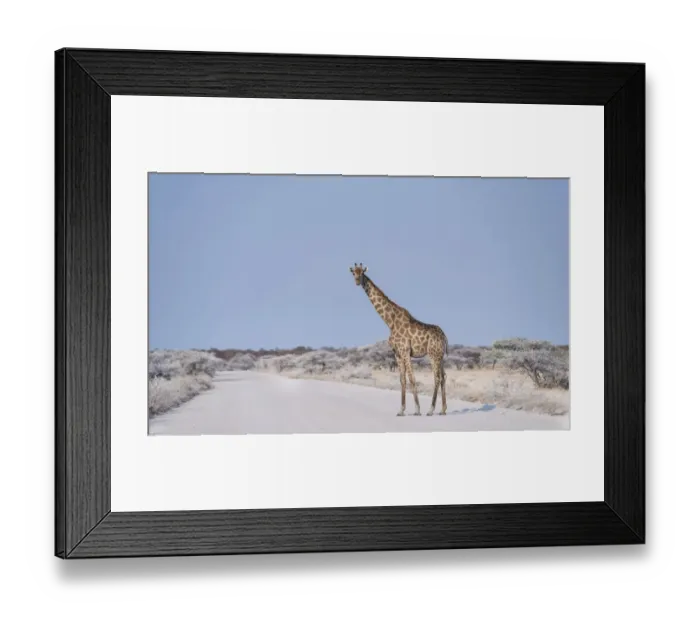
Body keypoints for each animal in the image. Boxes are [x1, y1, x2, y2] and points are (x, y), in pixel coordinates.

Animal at [349, 263, 448, 417]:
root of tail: (444, 337)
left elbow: (412, 378)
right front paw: (401, 410)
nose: (357, 281)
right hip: (440, 356)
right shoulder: (397, 353)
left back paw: (431, 410)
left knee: (437, 378)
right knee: (443, 377)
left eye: (362, 273)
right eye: (354, 273)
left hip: (433, 355)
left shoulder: (405, 350)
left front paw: (417, 410)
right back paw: (443, 410)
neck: (390, 321)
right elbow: (402, 380)